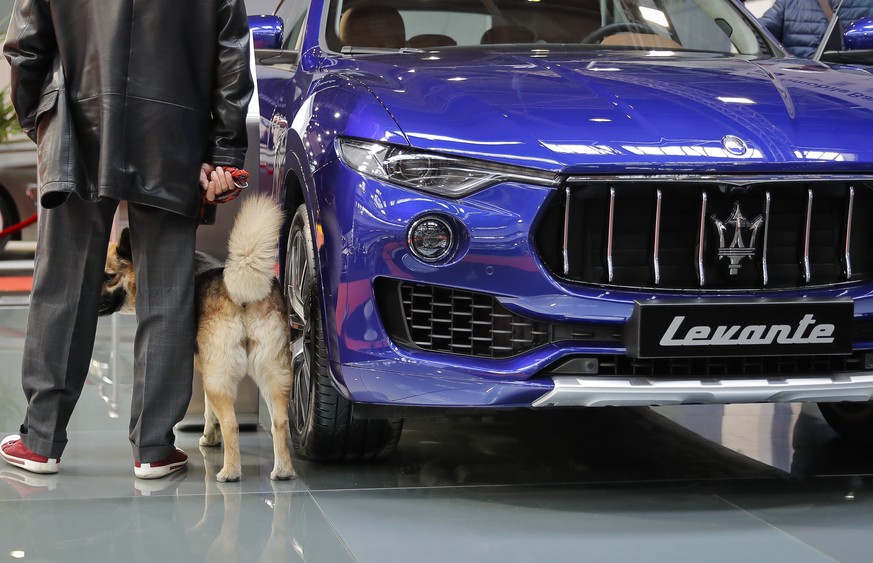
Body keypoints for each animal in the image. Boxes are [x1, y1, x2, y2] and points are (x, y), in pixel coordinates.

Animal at [100, 196, 294, 482]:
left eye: (109, 276)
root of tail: (239, 288)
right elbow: (209, 410)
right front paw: (211, 436)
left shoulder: (204, 372)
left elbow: (208, 410)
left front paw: (209, 437)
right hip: (273, 373)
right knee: (280, 422)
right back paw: (283, 471)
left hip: (219, 378)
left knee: (232, 424)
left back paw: (230, 471)